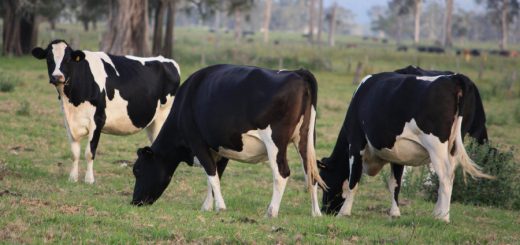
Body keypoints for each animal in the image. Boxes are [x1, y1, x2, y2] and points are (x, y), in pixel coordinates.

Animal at [32, 38, 181, 184]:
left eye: (68, 59)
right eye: (49, 58)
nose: (57, 77)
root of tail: (167, 60)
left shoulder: (97, 120)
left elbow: (89, 152)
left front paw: (89, 180)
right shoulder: (69, 122)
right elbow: (74, 153)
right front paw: (72, 178)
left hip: (164, 117)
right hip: (152, 122)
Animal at [130, 64, 324, 217]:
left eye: (138, 170)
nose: (134, 202)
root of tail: (298, 72)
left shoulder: (197, 142)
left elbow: (211, 174)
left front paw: (220, 207)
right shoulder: (220, 149)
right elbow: (215, 175)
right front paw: (208, 206)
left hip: (275, 141)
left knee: (281, 173)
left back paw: (271, 212)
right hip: (306, 139)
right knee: (311, 173)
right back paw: (316, 213)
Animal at [318, 65, 494, 222]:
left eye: (324, 182)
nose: (326, 211)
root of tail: (455, 78)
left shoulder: (356, 143)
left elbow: (353, 180)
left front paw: (344, 212)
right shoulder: (397, 154)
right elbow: (395, 184)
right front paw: (395, 213)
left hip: (436, 146)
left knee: (446, 176)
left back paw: (443, 217)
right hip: (454, 144)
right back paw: (437, 213)